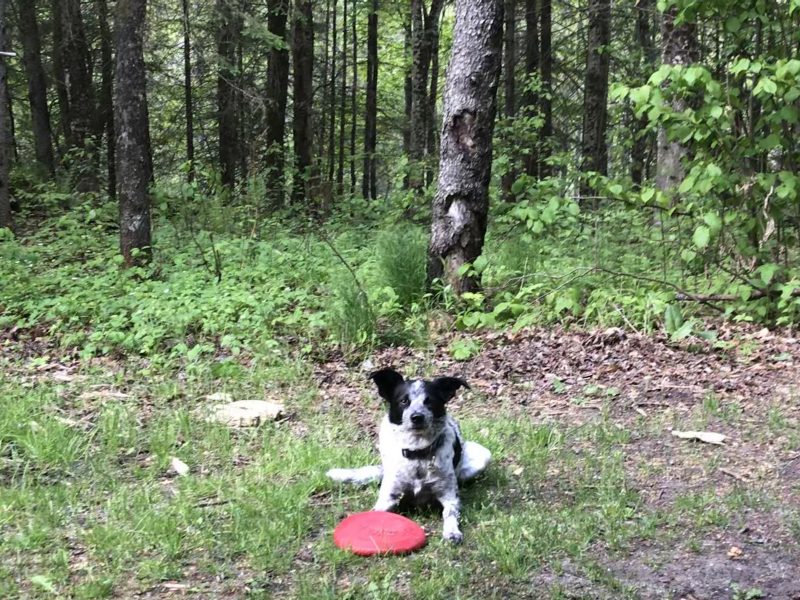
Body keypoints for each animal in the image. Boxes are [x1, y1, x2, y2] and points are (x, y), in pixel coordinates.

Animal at [326, 366, 490, 544]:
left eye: (429, 401)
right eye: (404, 401)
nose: (417, 417)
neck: (417, 452)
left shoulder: (449, 497)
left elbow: (450, 513)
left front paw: (452, 532)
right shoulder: (389, 497)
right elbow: (377, 513)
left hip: (483, 455)